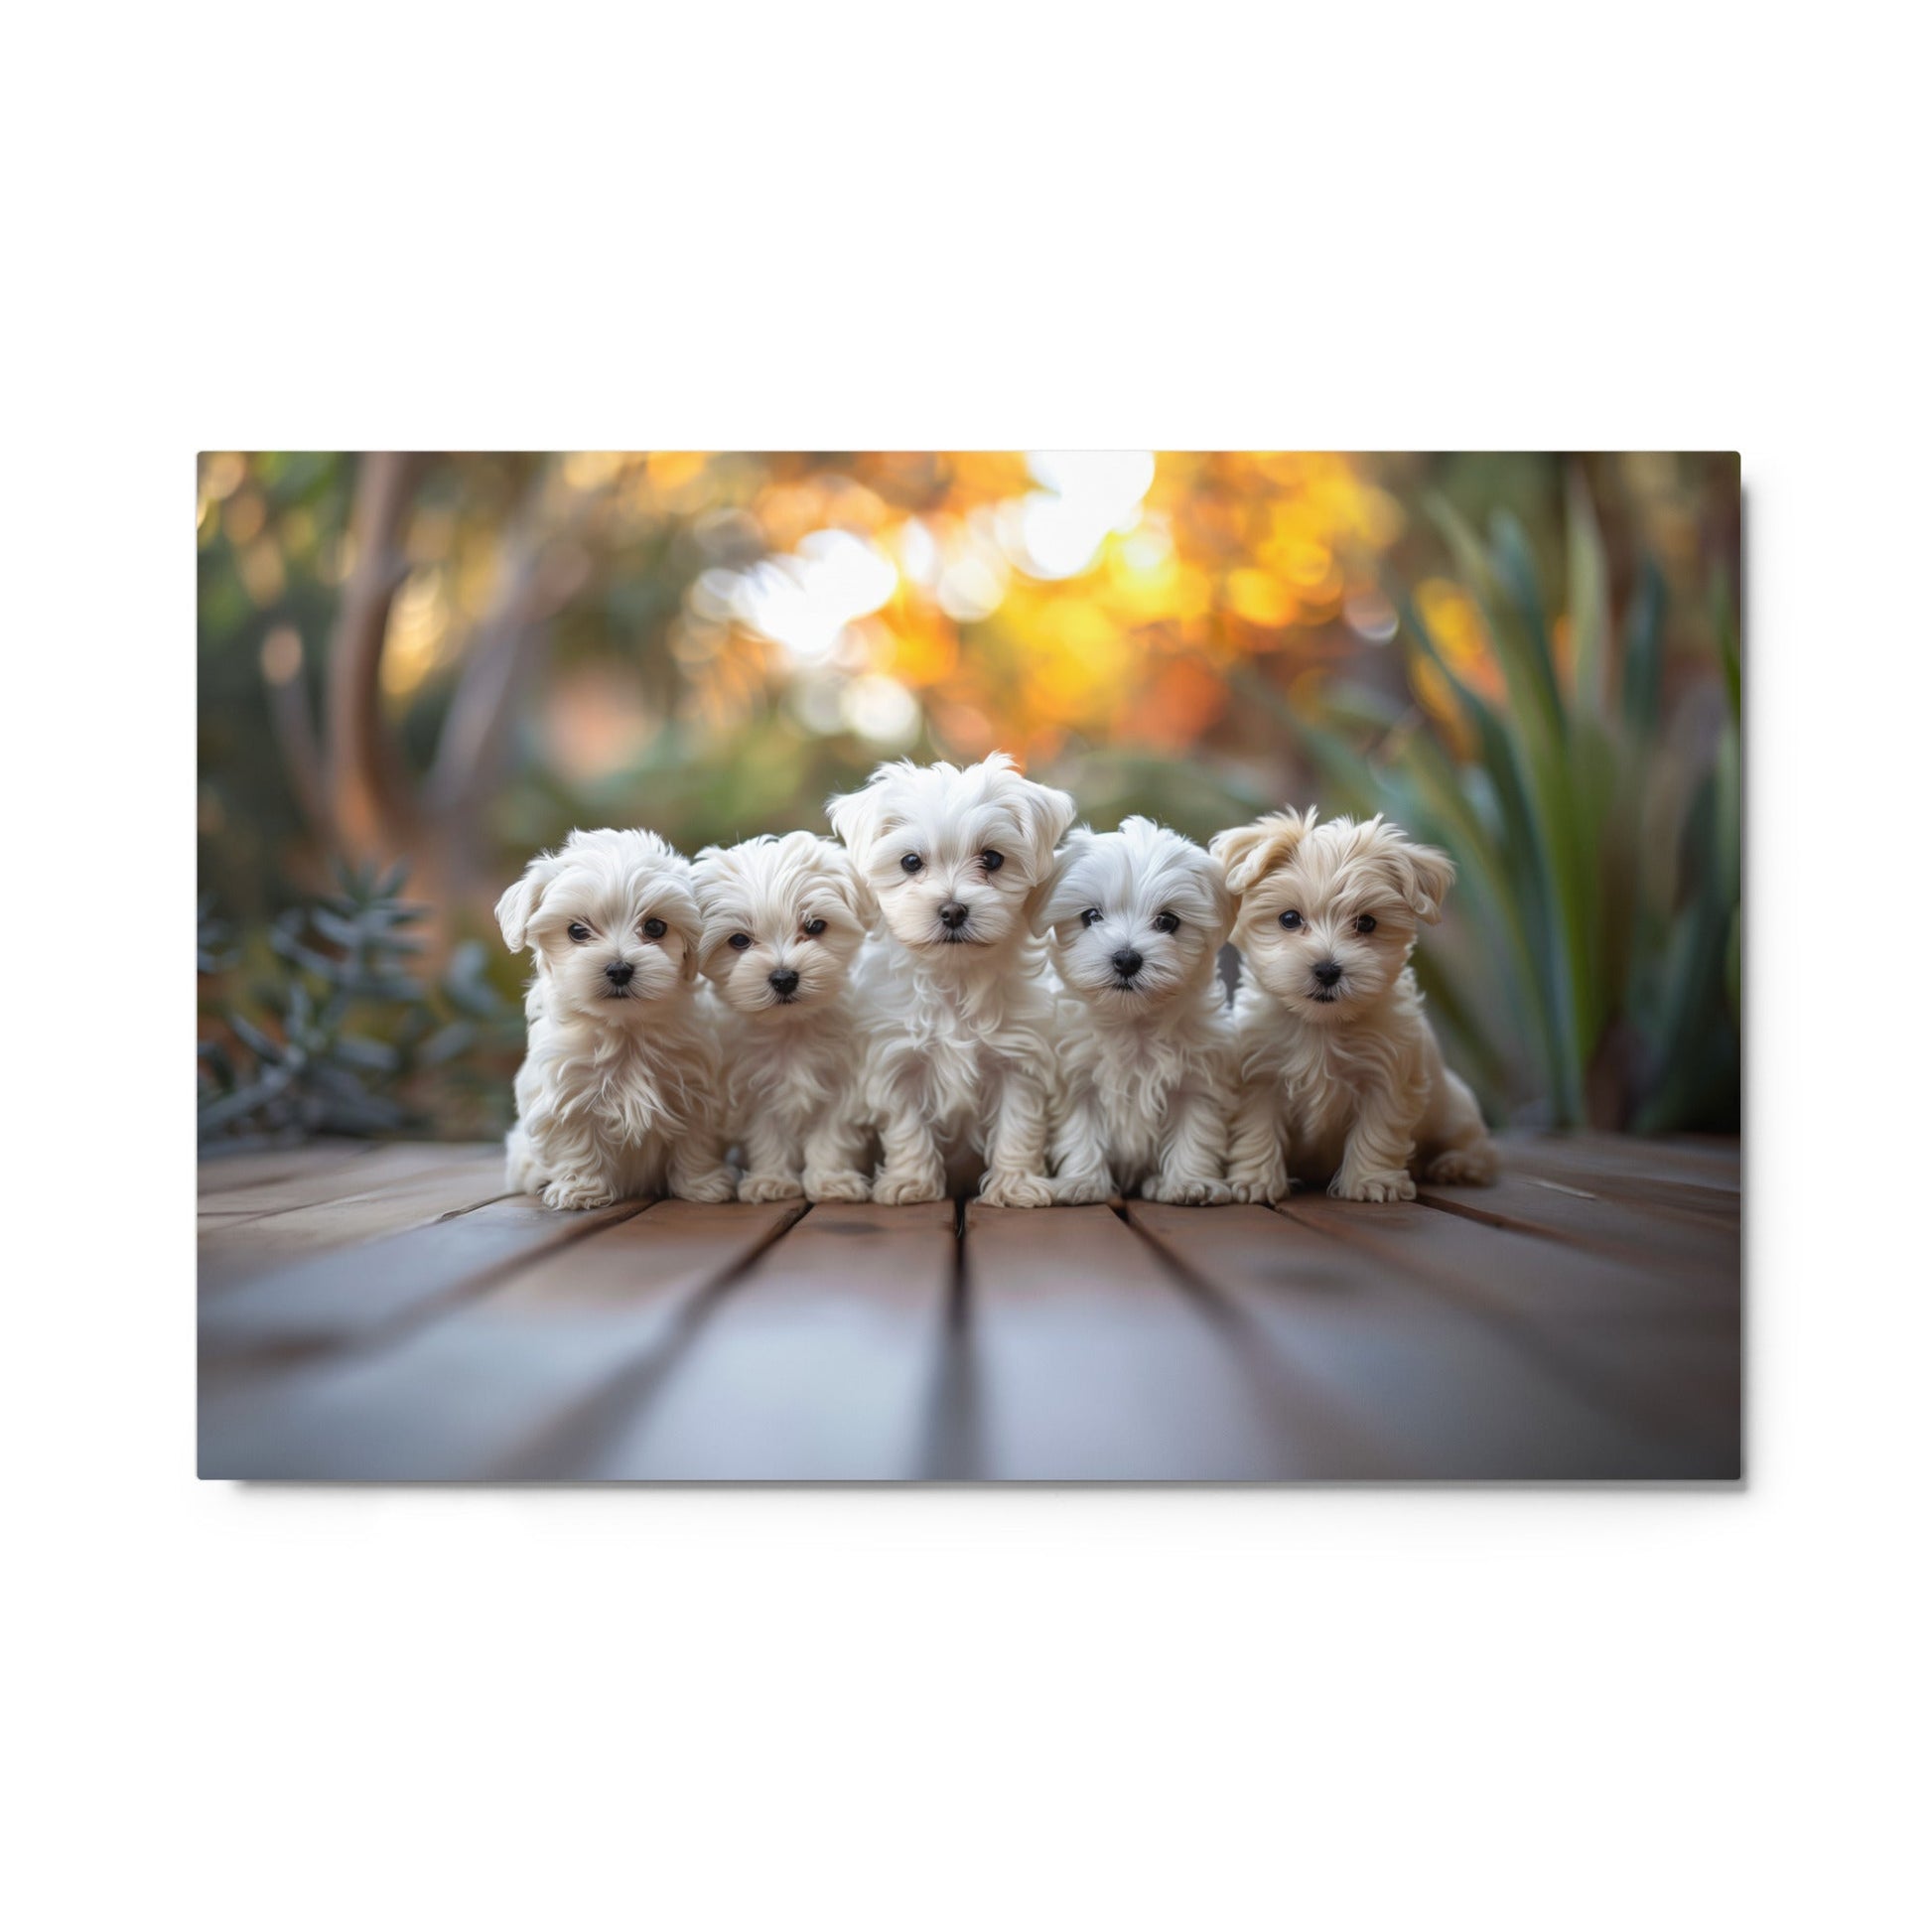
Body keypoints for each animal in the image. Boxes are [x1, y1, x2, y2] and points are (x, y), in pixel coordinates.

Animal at [494, 826, 734, 1205]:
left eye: (655, 927)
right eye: (577, 931)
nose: (619, 969)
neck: (625, 1028)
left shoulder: (696, 1089)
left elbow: (695, 1141)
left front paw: (702, 1184)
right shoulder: (566, 1094)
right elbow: (576, 1141)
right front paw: (580, 1189)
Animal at [695, 834, 877, 1205]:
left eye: (815, 925)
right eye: (739, 940)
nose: (783, 977)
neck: (791, 1026)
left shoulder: (842, 1085)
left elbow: (831, 1136)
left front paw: (830, 1180)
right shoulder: (755, 1089)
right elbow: (768, 1136)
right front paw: (772, 1180)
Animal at [826, 746, 1081, 1197]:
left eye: (992, 859)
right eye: (911, 862)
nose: (952, 910)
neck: (955, 977)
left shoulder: (1019, 1061)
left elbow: (1018, 1124)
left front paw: (1015, 1184)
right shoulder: (897, 1062)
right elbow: (907, 1127)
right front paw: (911, 1182)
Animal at [1042, 819, 1236, 1205]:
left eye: (1167, 921)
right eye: (1091, 916)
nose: (1127, 959)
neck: (1133, 1023)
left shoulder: (1196, 1080)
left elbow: (1195, 1129)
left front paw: (1190, 1182)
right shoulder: (1077, 1079)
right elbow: (1080, 1130)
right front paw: (1081, 1182)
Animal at [1213, 803, 1499, 1197]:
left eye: (1366, 923)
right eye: (1289, 918)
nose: (1327, 969)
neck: (1321, 1025)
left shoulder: (1388, 1077)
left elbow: (1377, 1131)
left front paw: (1371, 1181)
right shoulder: (1259, 1076)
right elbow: (1257, 1129)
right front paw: (1254, 1180)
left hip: (1454, 1110)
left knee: (1478, 1147)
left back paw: (1456, 1164)